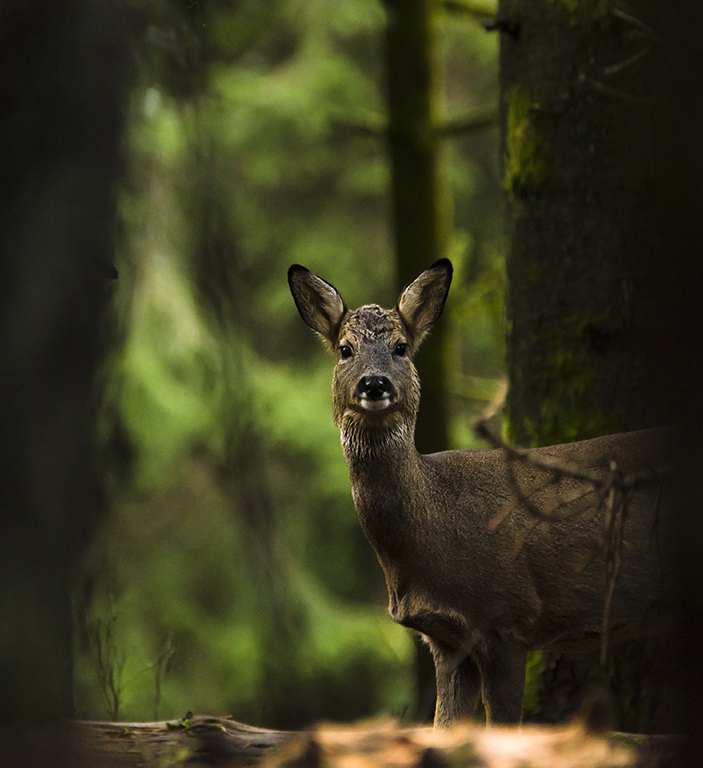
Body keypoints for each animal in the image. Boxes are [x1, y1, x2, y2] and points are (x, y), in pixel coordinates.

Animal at [288, 258, 672, 728]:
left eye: (401, 347)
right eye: (345, 349)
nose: (374, 384)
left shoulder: (508, 618)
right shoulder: (447, 640)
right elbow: (443, 728)